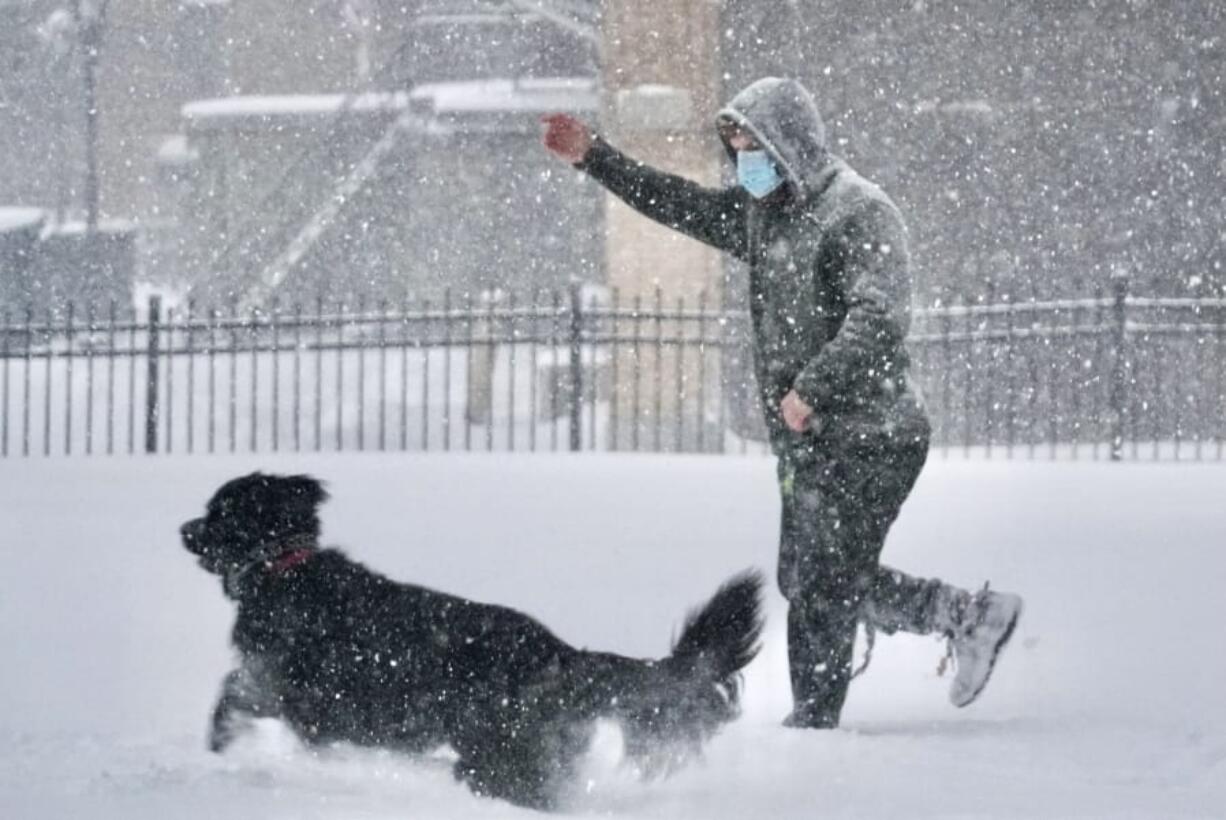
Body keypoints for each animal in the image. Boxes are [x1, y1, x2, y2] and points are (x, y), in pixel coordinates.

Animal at [178, 470, 765, 808]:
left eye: (217, 512)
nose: (183, 529)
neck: (285, 570)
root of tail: (561, 654)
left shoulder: (302, 696)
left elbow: (235, 695)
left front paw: (220, 742)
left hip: (493, 750)